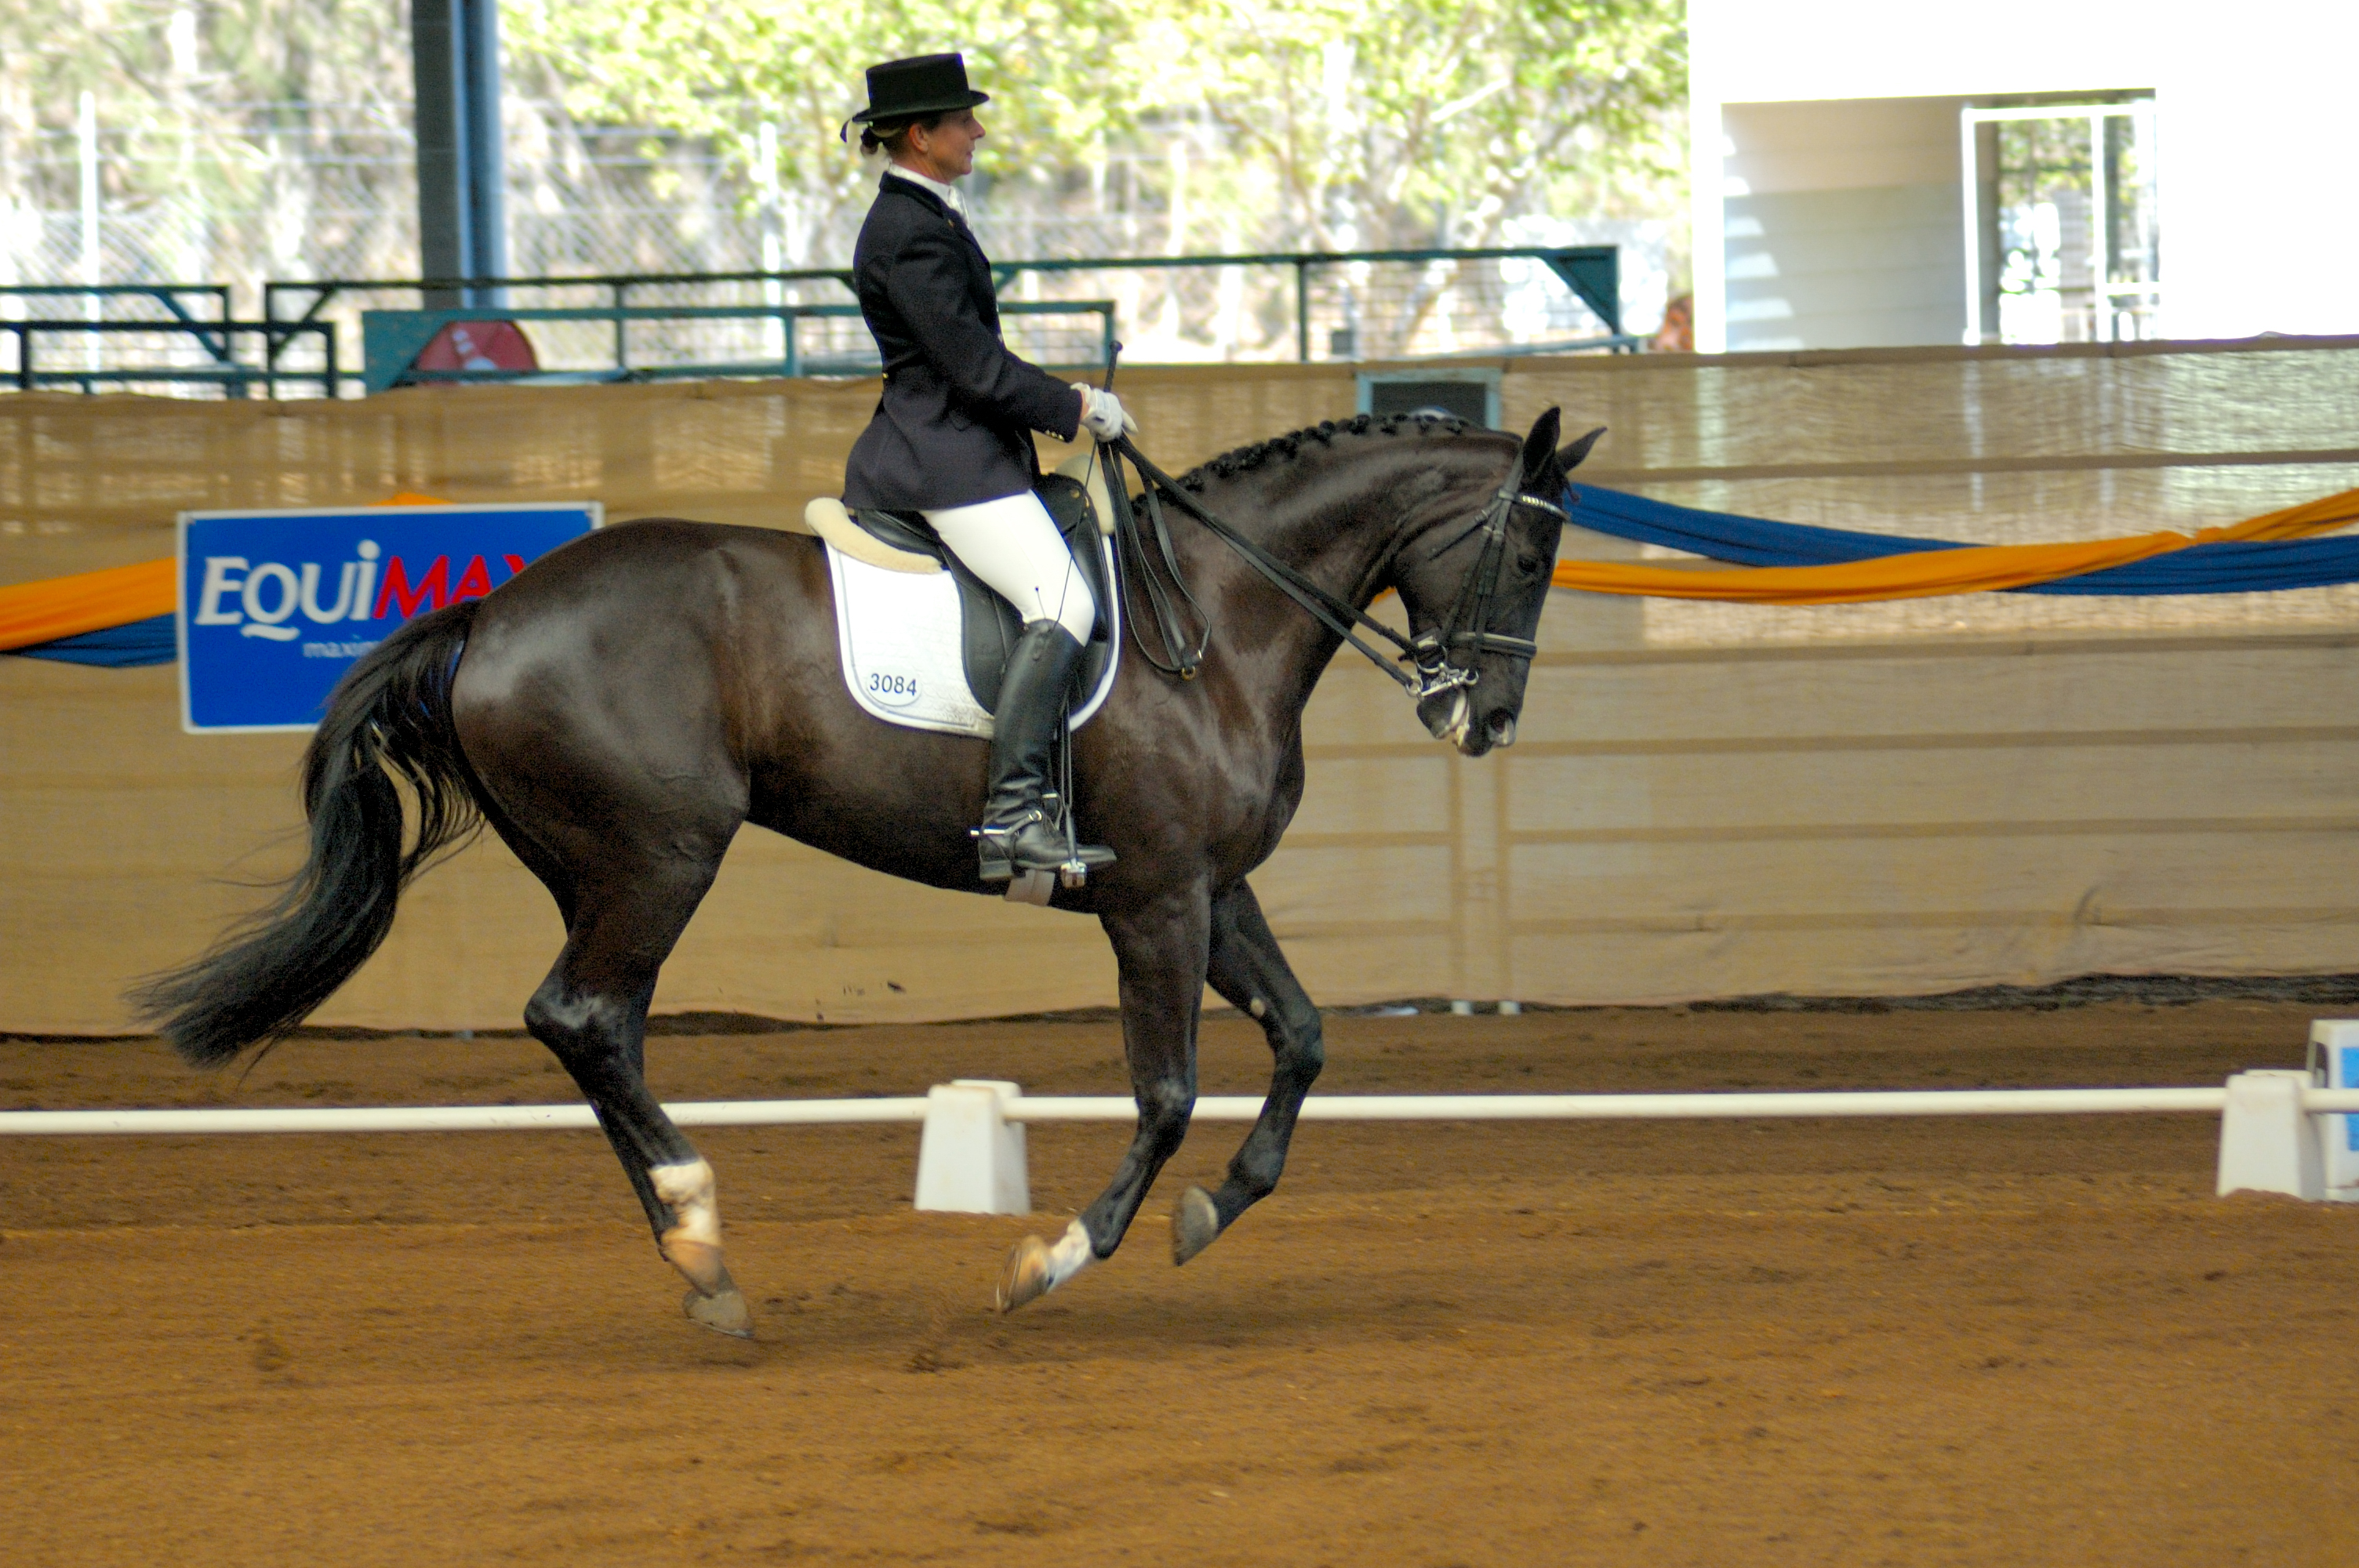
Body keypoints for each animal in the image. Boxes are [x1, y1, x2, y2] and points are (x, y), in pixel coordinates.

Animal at [137, 405, 1600, 1335]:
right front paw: (1049, 1260)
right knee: (583, 1015)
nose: (1484, 720)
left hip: (599, 867)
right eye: (1531, 553)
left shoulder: (1213, 890)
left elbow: (1299, 1040)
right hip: (659, 859)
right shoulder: (1155, 900)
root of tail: (490, 613)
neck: (1217, 621)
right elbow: (1170, 1092)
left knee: (592, 1028)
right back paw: (697, 1229)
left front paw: (1208, 1215)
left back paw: (696, 1256)